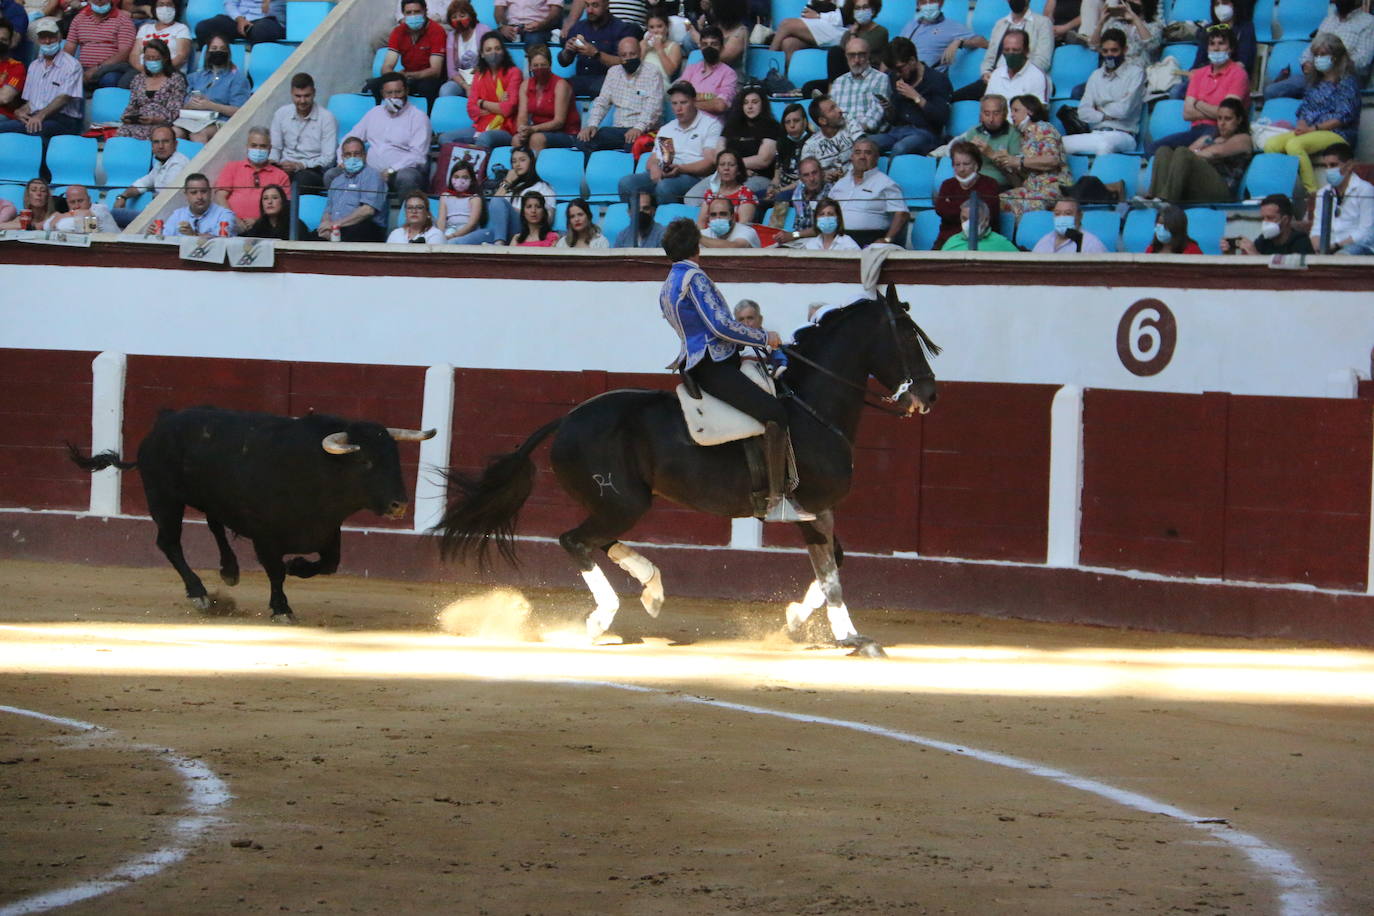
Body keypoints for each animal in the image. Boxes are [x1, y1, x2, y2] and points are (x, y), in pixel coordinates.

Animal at [69, 409, 431, 623]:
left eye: (395, 459)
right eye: (366, 462)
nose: (400, 504)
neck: (317, 469)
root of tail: (161, 425)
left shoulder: (328, 530)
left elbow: (328, 564)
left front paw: (297, 565)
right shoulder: (265, 536)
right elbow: (275, 572)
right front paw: (282, 608)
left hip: (210, 500)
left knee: (214, 525)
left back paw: (229, 571)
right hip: (164, 499)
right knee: (169, 543)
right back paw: (200, 594)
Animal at [434, 284, 939, 650]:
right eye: (907, 337)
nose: (929, 394)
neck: (811, 406)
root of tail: (568, 417)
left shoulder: (820, 512)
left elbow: (835, 562)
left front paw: (795, 619)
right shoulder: (814, 509)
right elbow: (830, 574)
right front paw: (852, 637)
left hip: (618, 501)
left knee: (595, 540)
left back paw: (652, 588)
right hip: (622, 501)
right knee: (575, 540)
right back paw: (603, 618)